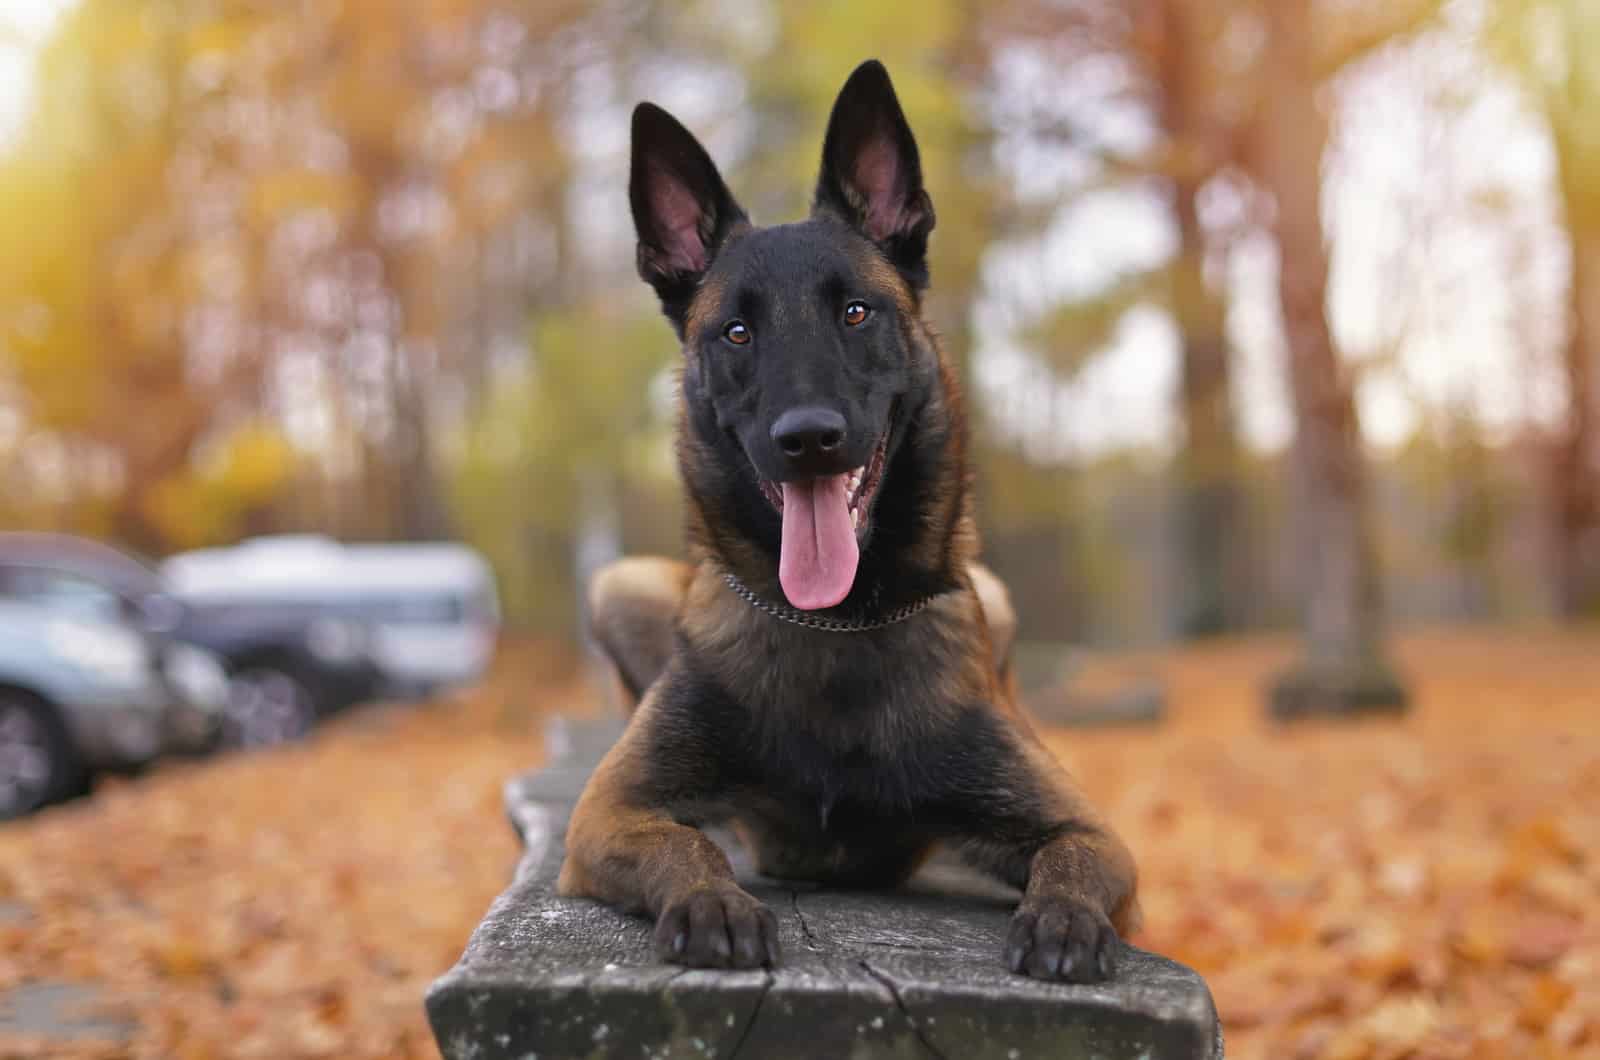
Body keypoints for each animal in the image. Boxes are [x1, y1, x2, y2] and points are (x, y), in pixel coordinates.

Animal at [563, 60, 1139, 986]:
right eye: (736, 332)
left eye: (857, 313)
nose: (808, 439)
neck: (836, 627)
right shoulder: (612, 813)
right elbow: (682, 845)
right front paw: (714, 899)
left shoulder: (1088, 827)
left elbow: (1074, 857)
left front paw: (1065, 920)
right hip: (622, 583)